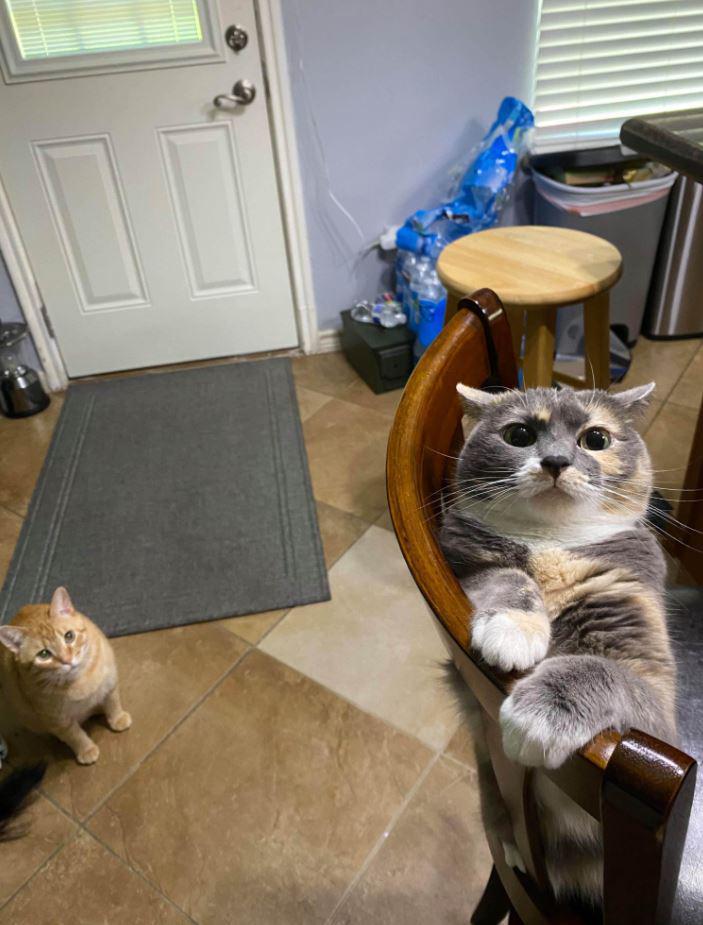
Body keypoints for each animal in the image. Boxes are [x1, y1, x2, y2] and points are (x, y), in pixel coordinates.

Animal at [0, 587, 131, 765]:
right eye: (44, 654)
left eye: (69, 636)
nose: (67, 660)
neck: (80, 681)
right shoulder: (58, 721)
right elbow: (74, 736)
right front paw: (86, 749)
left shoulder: (110, 684)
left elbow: (113, 703)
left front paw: (117, 718)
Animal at [439, 381, 676, 908]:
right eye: (520, 434)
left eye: (596, 439)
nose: (555, 461)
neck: (552, 544)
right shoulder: (462, 562)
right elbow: (505, 576)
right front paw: (514, 628)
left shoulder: (656, 703)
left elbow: (605, 672)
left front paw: (541, 713)